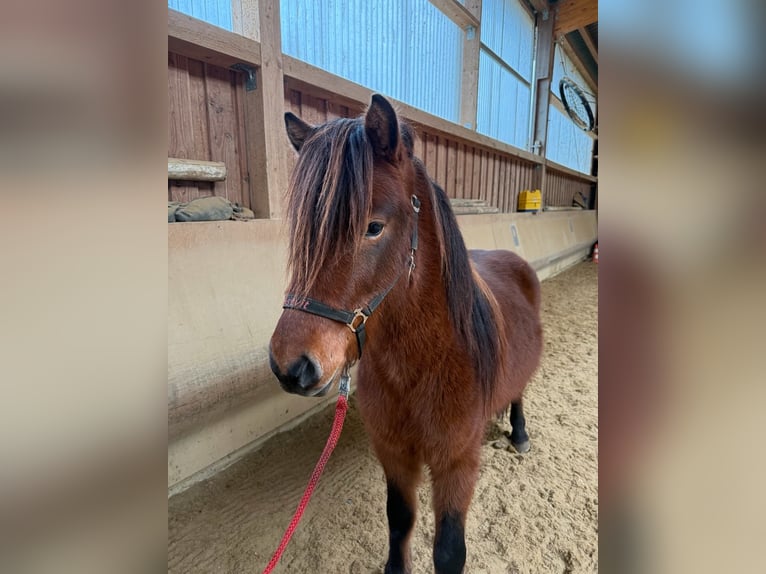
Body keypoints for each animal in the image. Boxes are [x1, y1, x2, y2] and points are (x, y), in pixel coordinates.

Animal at [272, 95, 544, 574]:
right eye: (306, 232)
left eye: (373, 227)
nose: (291, 365)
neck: (423, 365)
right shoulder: (394, 454)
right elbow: (399, 520)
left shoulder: (457, 463)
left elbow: (449, 550)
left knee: (519, 393)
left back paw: (519, 433)